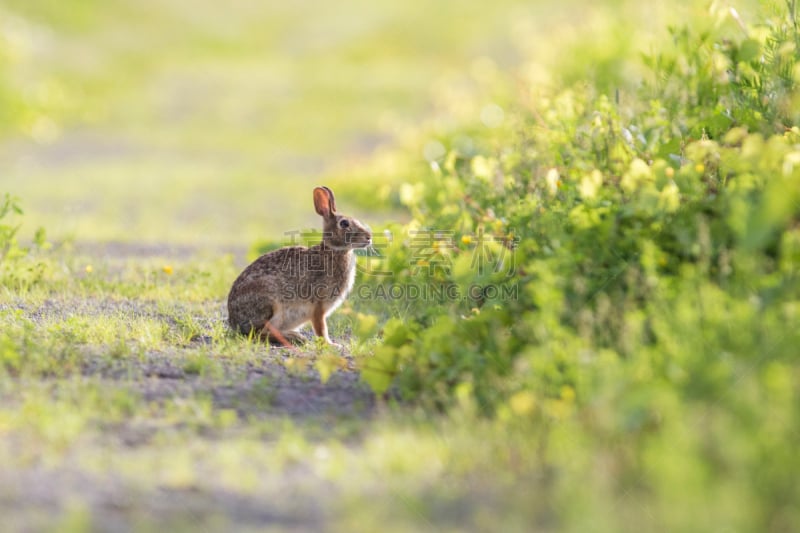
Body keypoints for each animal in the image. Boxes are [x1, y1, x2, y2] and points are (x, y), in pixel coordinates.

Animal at [228, 186, 372, 344]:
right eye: (344, 223)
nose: (369, 237)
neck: (333, 251)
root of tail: (234, 322)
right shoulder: (318, 305)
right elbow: (321, 328)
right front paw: (331, 344)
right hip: (271, 303)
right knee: (260, 333)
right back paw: (294, 337)